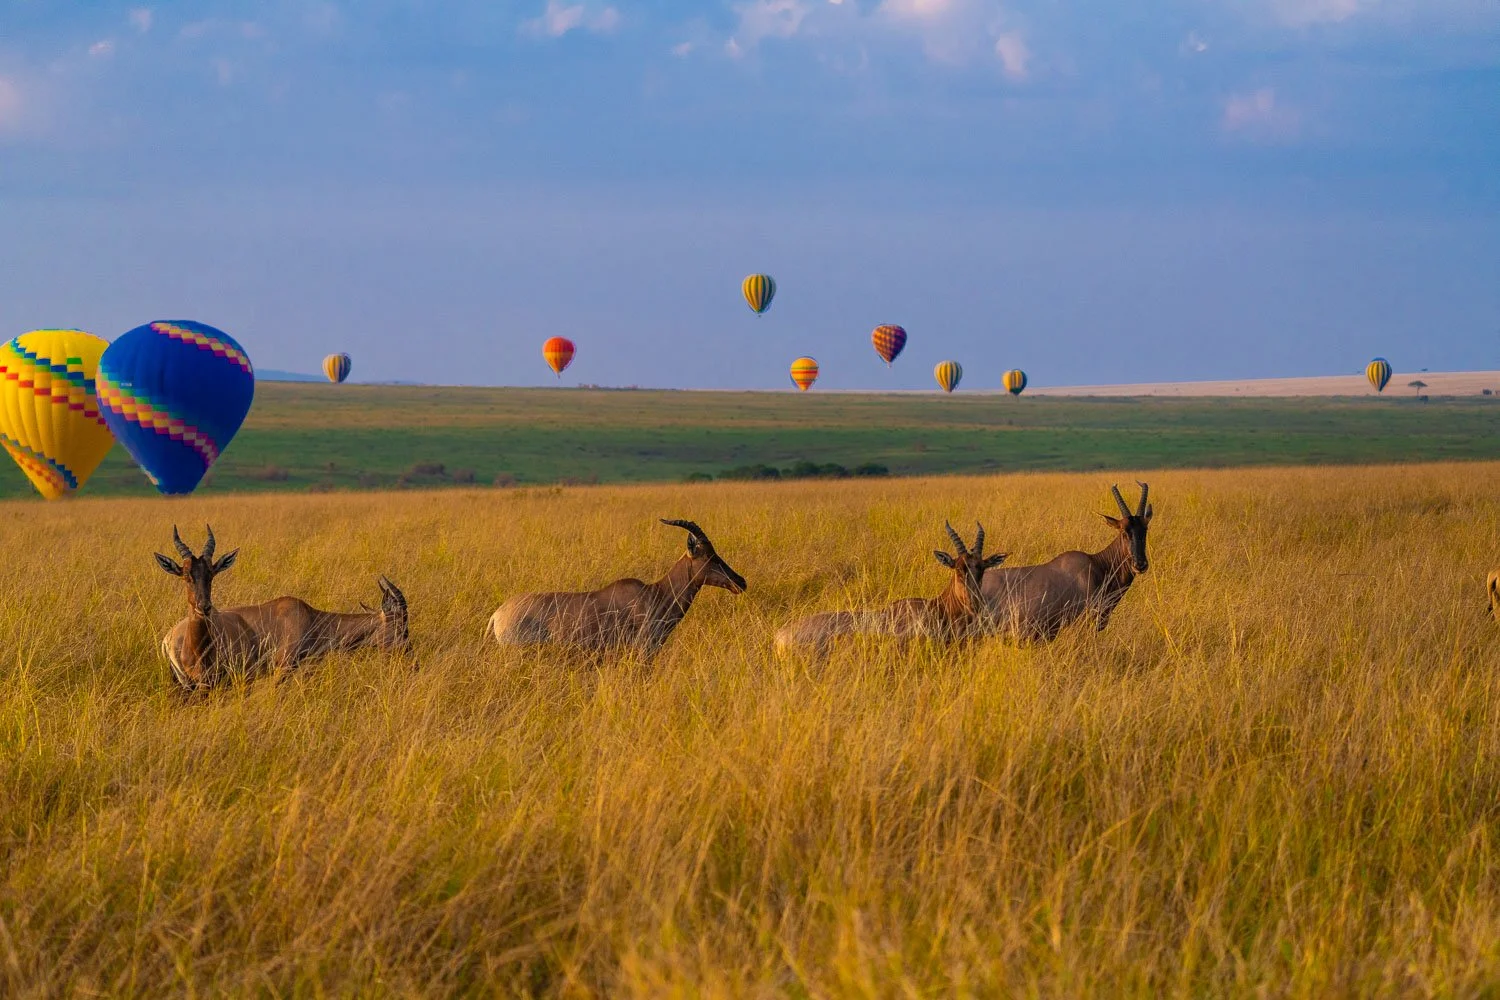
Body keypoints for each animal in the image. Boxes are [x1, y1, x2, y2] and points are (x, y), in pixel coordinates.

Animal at [156, 525, 410, 690]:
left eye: (211, 574)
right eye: (400, 626)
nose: (411, 662)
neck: (308, 617)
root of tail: (169, 637)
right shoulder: (282, 669)